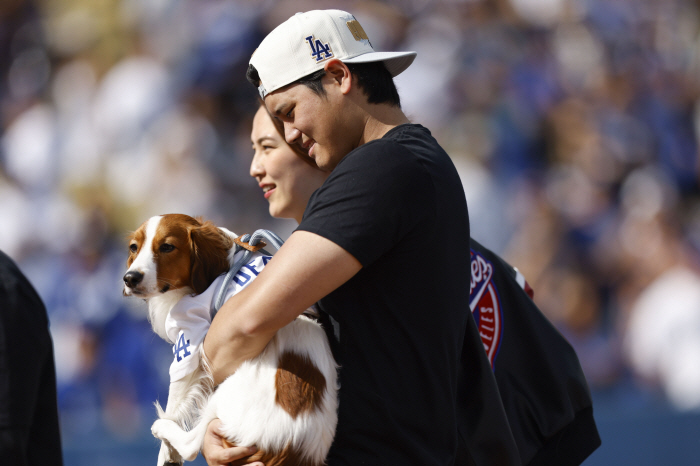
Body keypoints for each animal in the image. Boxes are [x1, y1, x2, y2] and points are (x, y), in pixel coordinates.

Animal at [123, 215, 340, 466]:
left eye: (167, 247)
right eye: (134, 247)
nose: (129, 278)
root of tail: (288, 449)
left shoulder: (188, 338)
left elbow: (174, 402)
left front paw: (166, 454)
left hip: (224, 396)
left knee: (192, 444)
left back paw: (162, 427)